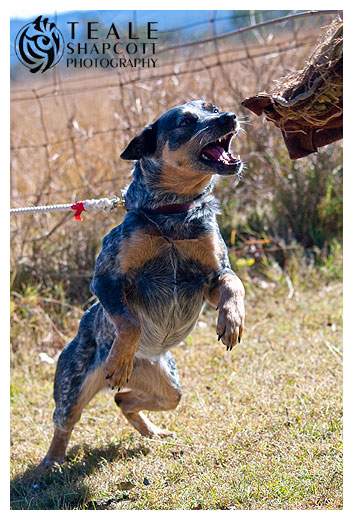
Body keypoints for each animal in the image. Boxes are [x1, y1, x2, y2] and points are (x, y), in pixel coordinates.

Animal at [39, 100, 245, 468]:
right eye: (185, 122)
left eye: (212, 108)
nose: (229, 117)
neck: (174, 213)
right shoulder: (106, 277)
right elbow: (130, 321)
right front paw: (119, 359)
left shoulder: (211, 278)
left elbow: (234, 284)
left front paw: (231, 321)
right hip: (72, 387)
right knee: (64, 422)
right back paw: (52, 463)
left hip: (166, 382)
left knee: (126, 399)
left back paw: (153, 431)